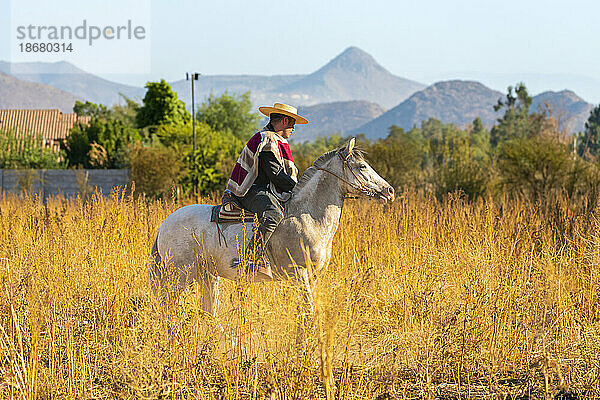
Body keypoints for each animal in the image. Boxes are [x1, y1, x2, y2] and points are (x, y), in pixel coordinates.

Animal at [149, 139, 394, 318]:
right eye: (362, 166)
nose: (389, 191)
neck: (308, 216)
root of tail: (164, 225)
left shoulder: (313, 277)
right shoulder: (299, 275)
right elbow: (309, 312)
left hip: (208, 276)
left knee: (208, 312)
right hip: (180, 275)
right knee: (167, 308)